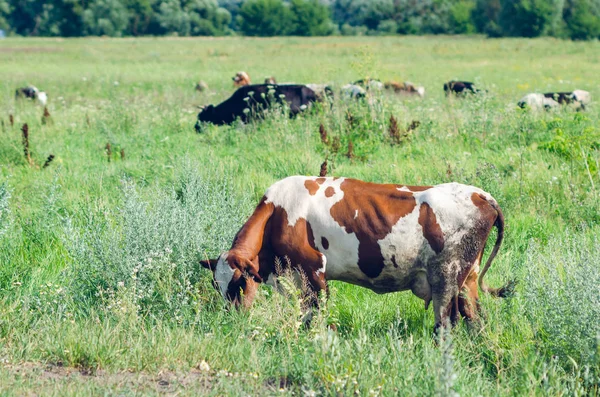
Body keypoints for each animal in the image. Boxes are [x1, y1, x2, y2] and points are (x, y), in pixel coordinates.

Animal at [202, 175, 510, 330]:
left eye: (239, 283)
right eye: (217, 285)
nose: (231, 318)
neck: (277, 213)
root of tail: (481, 194)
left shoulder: (314, 269)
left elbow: (313, 314)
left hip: (445, 279)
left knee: (447, 322)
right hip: (468, 279)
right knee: (475, 317)